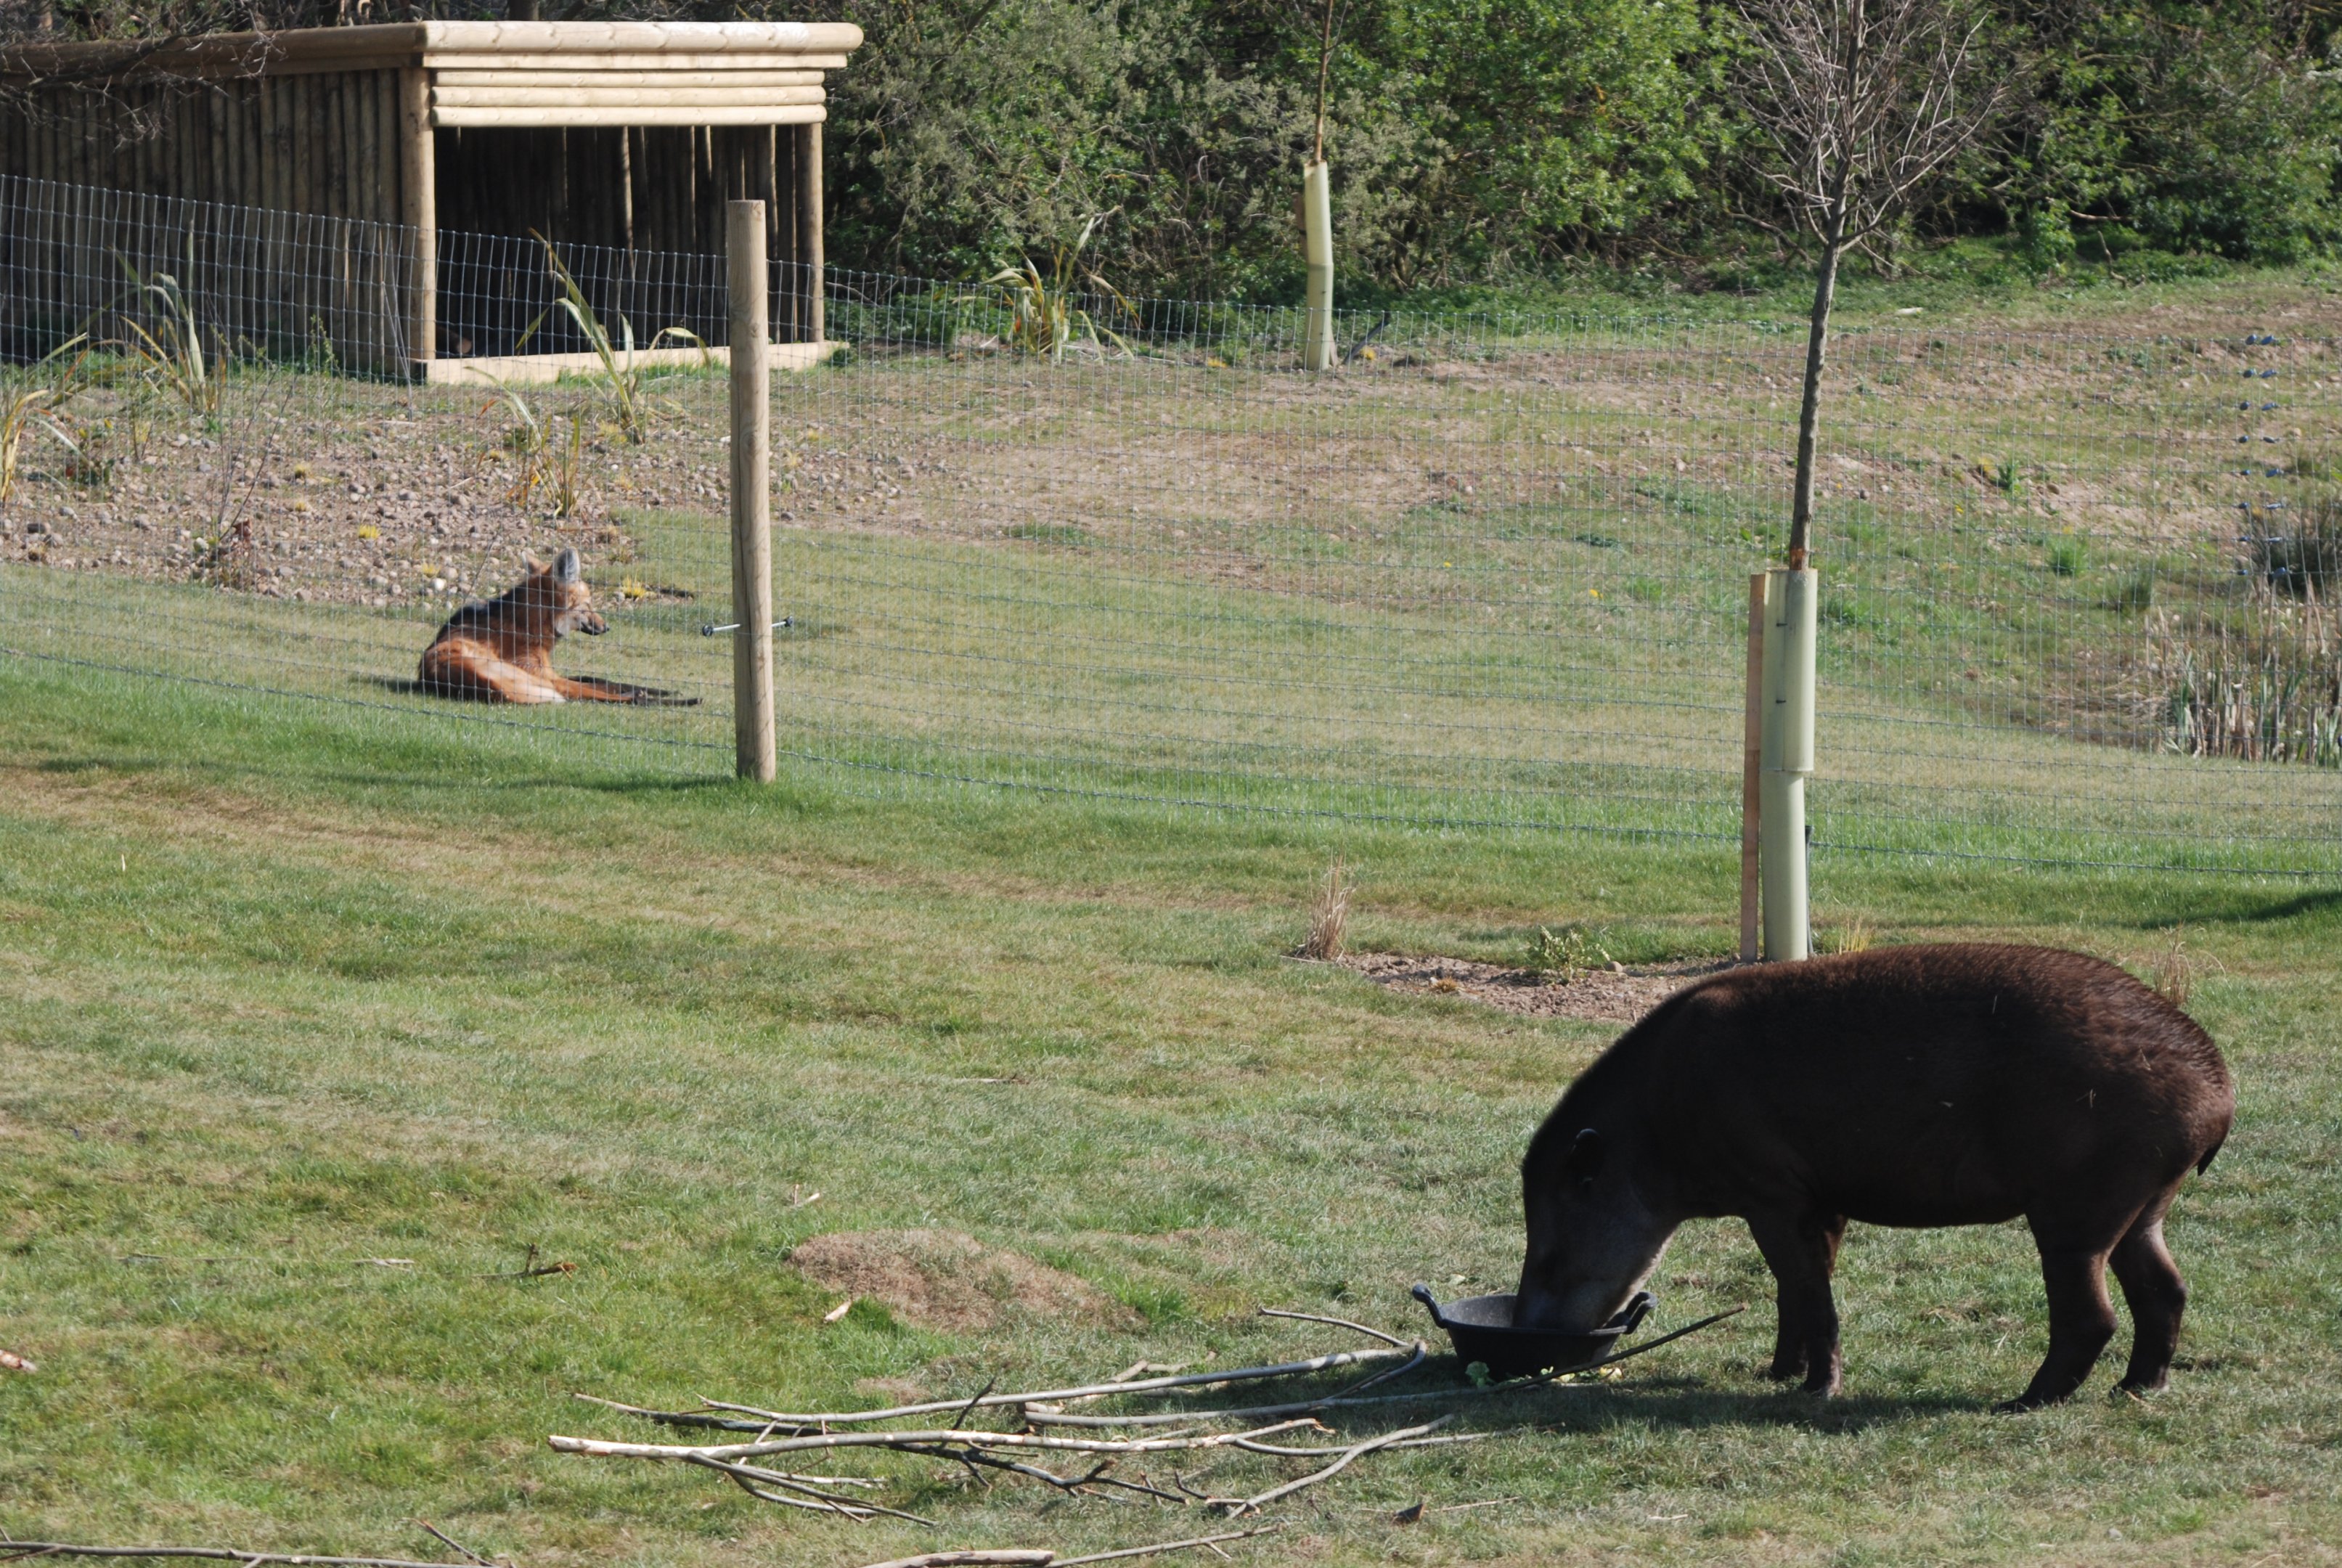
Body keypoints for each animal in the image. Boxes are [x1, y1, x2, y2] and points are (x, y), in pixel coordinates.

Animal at [416, 548, 696, 706]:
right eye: (588, 605)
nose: (607, 627)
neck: (527, 623)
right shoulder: (542, 675)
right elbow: (594, 686)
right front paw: (660, 695)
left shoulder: (547, 673)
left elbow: (598, 679)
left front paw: (661, 689)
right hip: (522, 677)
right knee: (596, 696)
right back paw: (679, 701)